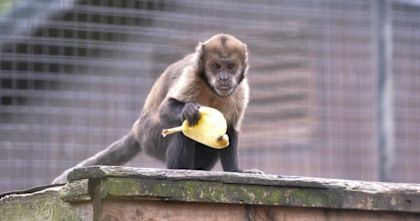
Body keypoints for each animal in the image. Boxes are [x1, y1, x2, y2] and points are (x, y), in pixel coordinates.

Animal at [51, 33, 260, 184]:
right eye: (216, 66)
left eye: (230, 67)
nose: (224, 78)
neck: (211, 89)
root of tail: (137, 130)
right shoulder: (192, 76)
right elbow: (166, 109)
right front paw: (190, 110)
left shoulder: (241, 90)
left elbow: (229, 130)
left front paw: (236, 171)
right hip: (152, 138)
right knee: (182, 131)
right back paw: (179, 170)